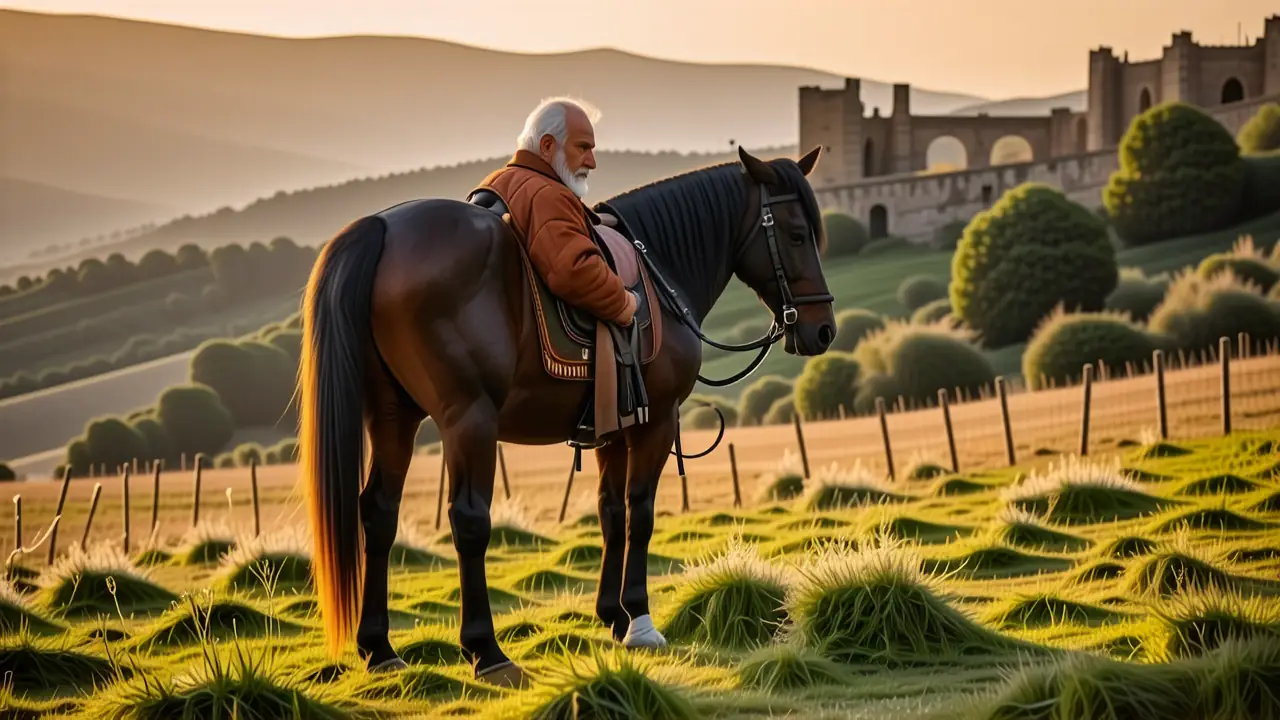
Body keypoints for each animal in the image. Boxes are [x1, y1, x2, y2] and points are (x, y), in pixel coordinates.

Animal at [297, 144, 837, 687]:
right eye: (795, 234)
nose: (824, 329)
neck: (659, 270)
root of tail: (383, 227)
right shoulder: (656, 421)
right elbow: (640, 512)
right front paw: (640, 619)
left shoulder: (614, 429)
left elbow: (611, 513)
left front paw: (614, 616)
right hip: (468, 420)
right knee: (468, 520)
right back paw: (486, 650)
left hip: (394, 418)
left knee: (378, 513)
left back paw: (379, 646)